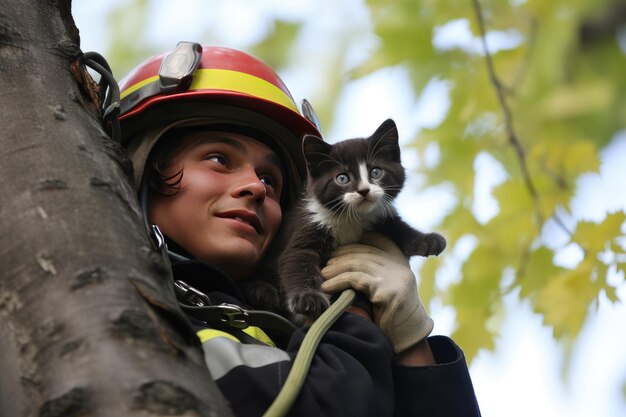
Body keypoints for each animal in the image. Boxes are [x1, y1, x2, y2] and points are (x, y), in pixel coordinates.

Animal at [276, 118, 444, 316]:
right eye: (342, 178)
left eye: (375, 172)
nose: (364, 190)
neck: (351, 218)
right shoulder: (308, 225)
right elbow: (297, 261)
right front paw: (308, 297)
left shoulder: (380, 217)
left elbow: (398, 228)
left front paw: (427, 239)